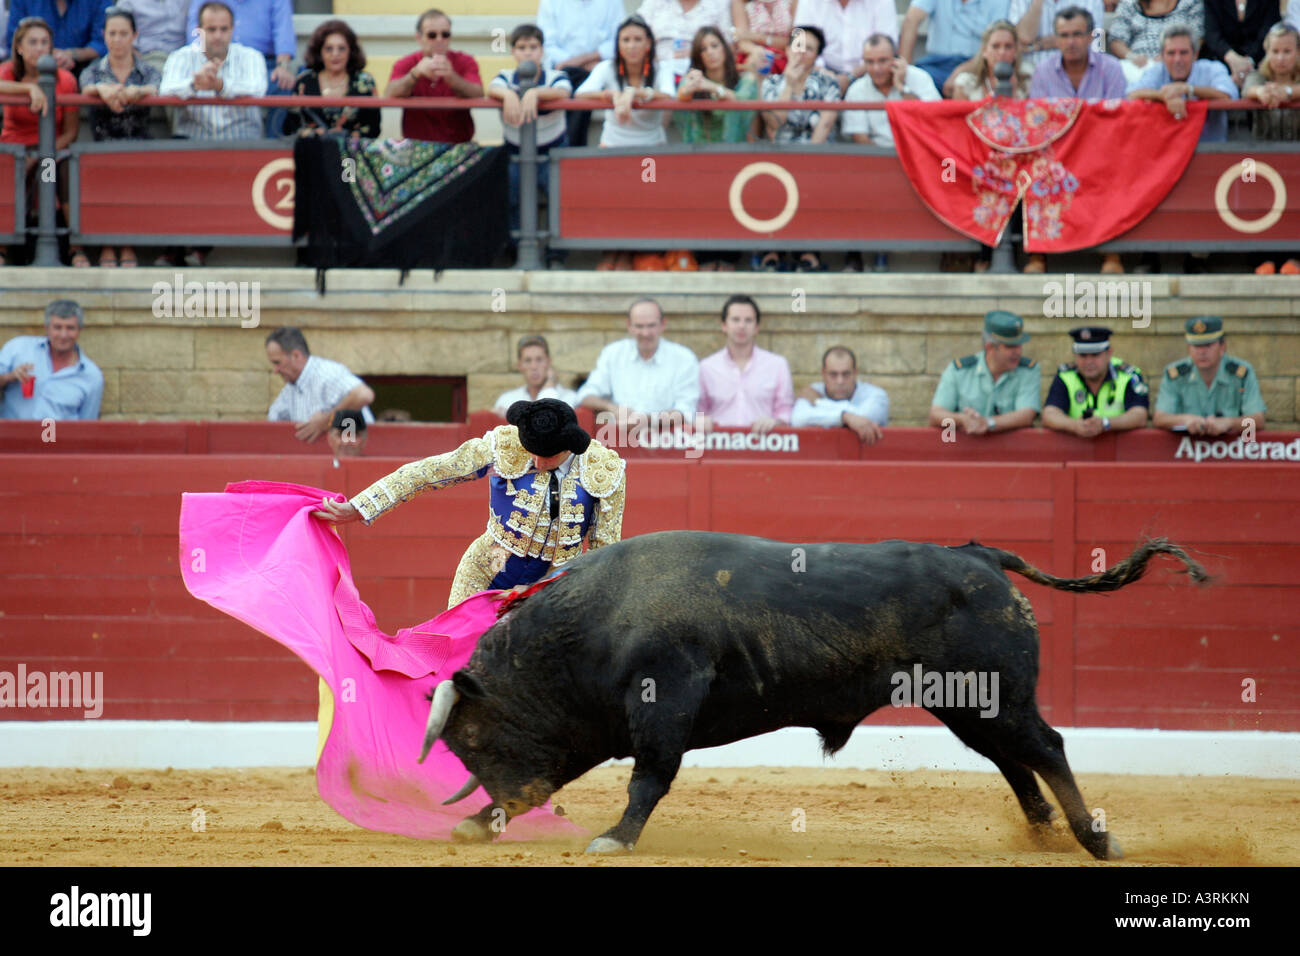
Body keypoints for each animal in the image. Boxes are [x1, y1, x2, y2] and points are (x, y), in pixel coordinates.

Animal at [421, 530, 1201, 858]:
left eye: (478, 737)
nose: (503, 804)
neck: (597, 619)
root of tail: (980, 555)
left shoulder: (663, 702)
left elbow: (649, 778)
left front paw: (614, 839)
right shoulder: (597, 726)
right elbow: (589, 771)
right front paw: (479, 823)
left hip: (1000, 697)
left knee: (1046, 746)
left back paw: (1095, 839)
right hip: (968, 702)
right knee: (1015, 759)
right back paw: (1044, 836)